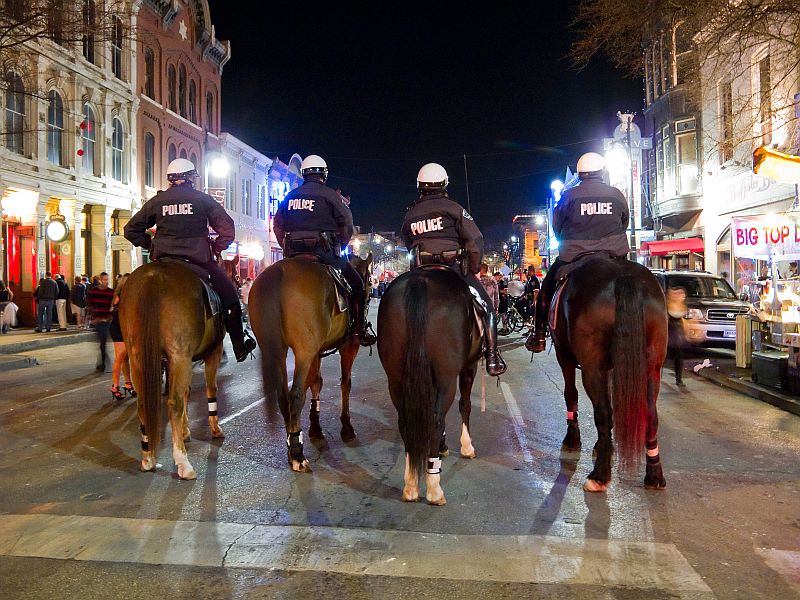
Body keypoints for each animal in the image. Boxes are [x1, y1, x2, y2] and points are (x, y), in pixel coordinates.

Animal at [122, 260, 228, 480]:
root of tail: (153, 275)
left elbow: (187, 392)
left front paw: (186, 431)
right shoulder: (213, 352)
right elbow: (210, 388)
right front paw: (215, 428)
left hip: (138, 357)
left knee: (143, 402)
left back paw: (147, 458)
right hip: (180, 355)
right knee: (174, 403)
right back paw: (183, 463)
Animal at [248, 251, 374, 472]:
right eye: (369, 282)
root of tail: (277, 273)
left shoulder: (317, 351)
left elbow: (317, 382)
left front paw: (315, 426)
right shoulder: (348, 347)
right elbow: (345, 383)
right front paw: (346, 425)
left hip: (276, 351)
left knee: (283, 396)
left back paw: (291, 443)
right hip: (304, 351)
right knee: (296, 394)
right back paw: (297, 453)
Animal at [376, 264, 482, 504]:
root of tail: (420, 282)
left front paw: (443, 447)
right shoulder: (468, 367)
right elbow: (465, 405)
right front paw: (467, 446)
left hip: (396, 378)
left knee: (406, 422)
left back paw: (411, 484)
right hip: (446, 377)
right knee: (436, 420)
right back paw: (434, 488)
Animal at [552, 255, 668, 490]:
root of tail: (623, 275)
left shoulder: (564, 356)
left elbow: (570, 394)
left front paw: (573, 439)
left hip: (591, 368)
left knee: (603, 413)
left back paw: (599, 475)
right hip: (652, 366)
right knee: (651, 415)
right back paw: (654, 474)